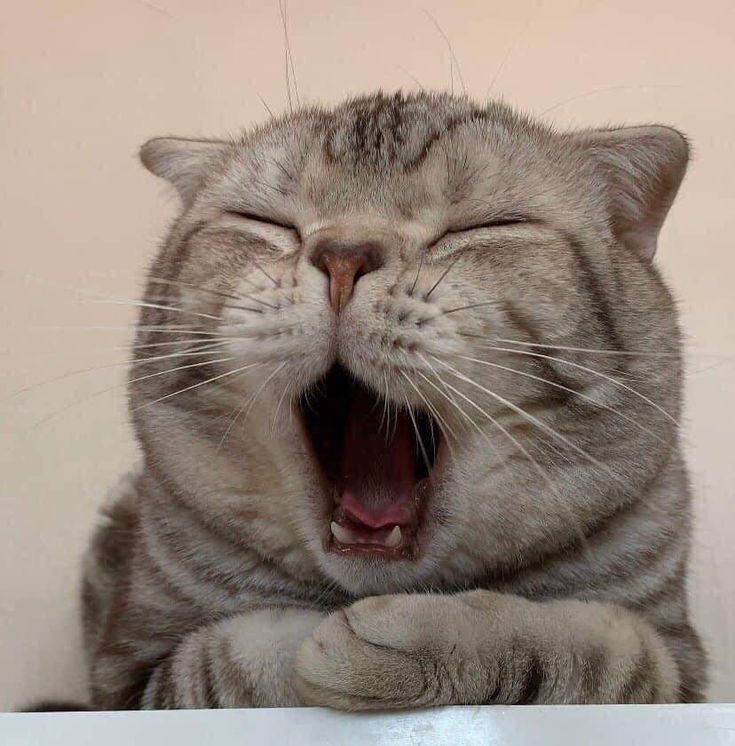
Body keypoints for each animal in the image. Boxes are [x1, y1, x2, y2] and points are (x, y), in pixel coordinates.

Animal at [76, 90, 708, 708]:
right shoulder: (127, 675)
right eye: (265, 221)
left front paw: (417, 633)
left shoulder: (681, 665)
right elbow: (228, 661)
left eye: (483, 226)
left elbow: (597, 650)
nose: (342, 257)